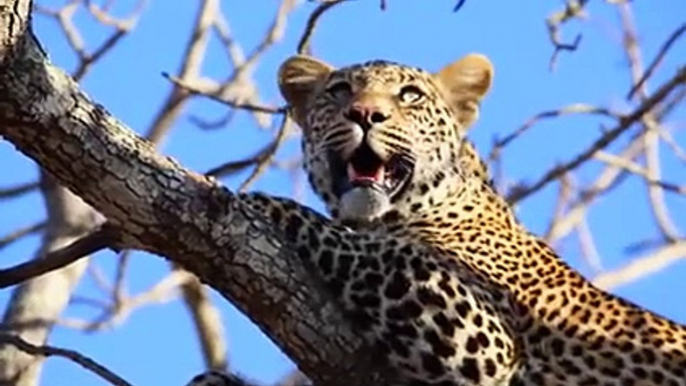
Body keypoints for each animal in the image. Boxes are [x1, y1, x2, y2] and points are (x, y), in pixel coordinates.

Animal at [185, 55, 684, 386]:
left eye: (410, 96)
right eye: (339, 91)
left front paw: (258, 202)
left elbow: (371, 248)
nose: (365, 114)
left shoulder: (484, 338)